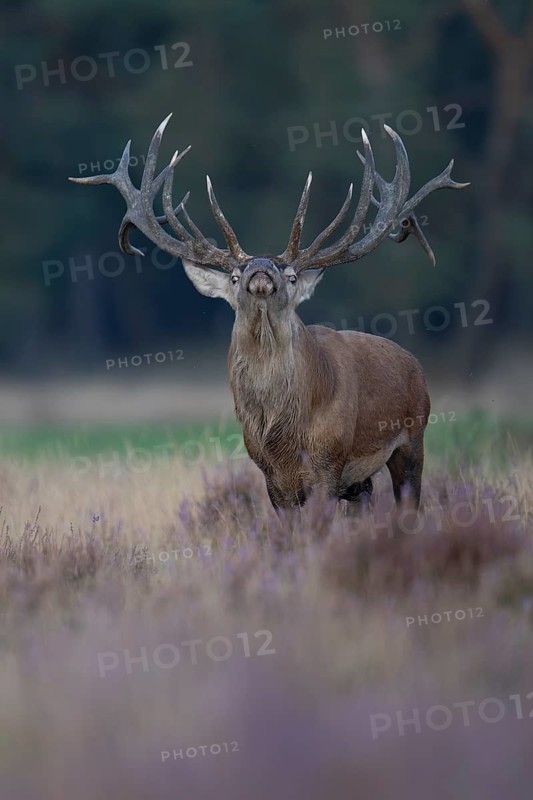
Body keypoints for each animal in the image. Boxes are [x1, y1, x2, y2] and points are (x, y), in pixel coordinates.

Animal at [69, 115, 468, 511]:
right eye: (233, 276)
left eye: (291, 276)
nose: (260, 268)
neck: (282, 436)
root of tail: (414, 363)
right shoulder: (270, 476)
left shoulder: (329, 464)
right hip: (361, 482)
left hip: (413, 439)